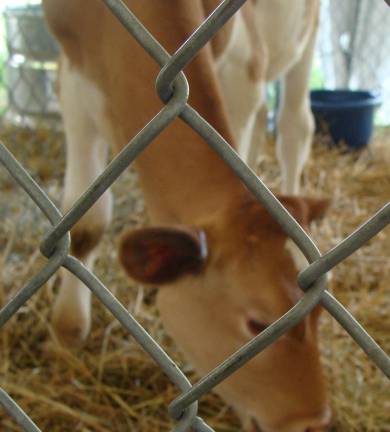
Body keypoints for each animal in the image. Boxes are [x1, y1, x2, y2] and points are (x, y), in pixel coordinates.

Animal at [42, 0, 330, 430]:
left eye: (317, 315)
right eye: (258, 324)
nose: (314, 421)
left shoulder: (243, 65)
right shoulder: (73, 77)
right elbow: (87, 225)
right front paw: (67, 333)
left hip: (306, 36)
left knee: (295, 128)